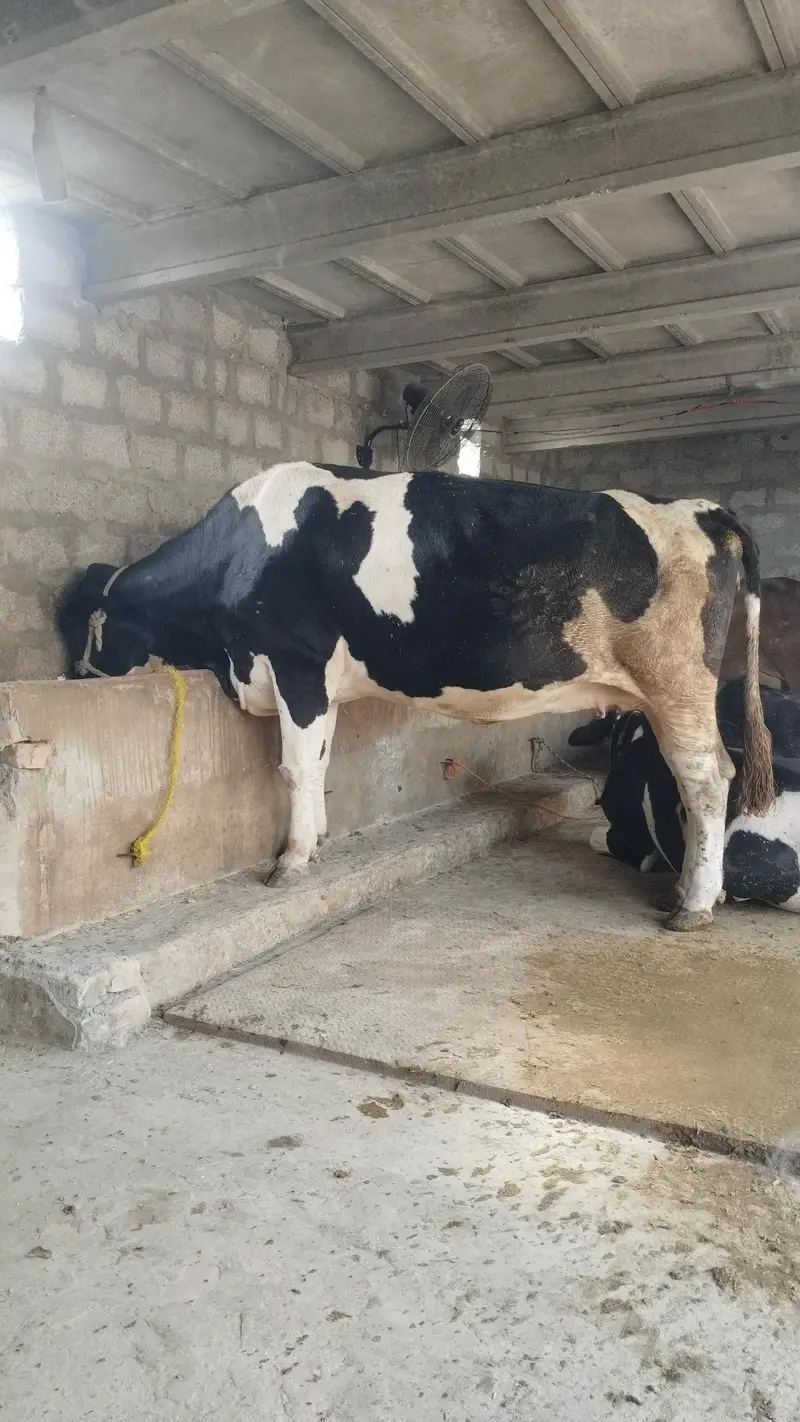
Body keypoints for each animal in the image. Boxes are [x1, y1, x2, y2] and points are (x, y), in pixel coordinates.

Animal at [57, 461, 774, 931]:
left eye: (81, 625)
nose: (74, 679)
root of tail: (701, 508)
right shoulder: (318, 683)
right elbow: (320, 761)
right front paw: (319, 840)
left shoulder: (296, 663)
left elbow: (293, 767)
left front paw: (291, 859)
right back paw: (687, 888)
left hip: (676, 683)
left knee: (706, 777)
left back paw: (693, 905)